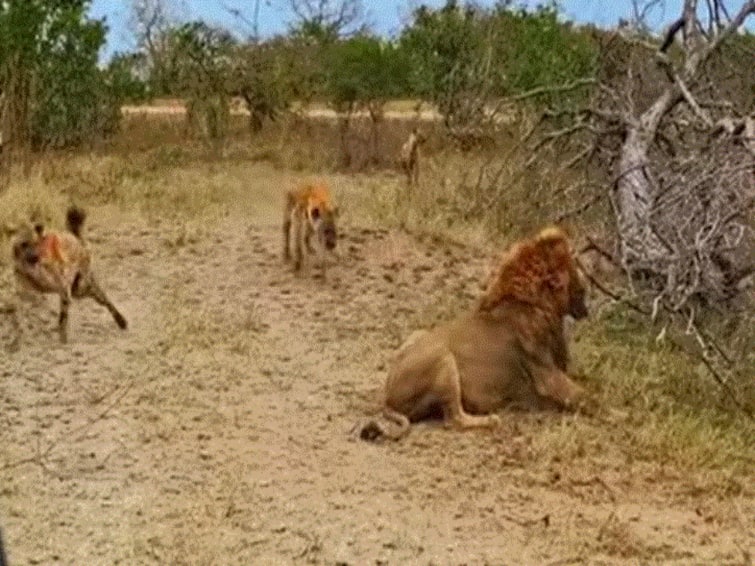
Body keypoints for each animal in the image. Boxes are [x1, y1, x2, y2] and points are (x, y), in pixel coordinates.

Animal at [10, 206, 127, 344]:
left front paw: (63, 341)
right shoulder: (25, 289)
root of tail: (76, 238)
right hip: (78, 289)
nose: (34, 256)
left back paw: (122, 321)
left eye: (37, 243)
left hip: (81, 287)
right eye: (24, 244)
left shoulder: (64, 288)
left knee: (104, 298)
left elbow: (63, 318)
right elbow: (20, 312)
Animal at [358, 227, 592, 444]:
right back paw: (492, 420)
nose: (586, 306)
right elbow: (590, 398)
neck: (541, 306)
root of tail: (388, 398)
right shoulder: (548, 377)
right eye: (575, 270)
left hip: (419, 334)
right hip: (443, 358)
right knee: (454, 419)